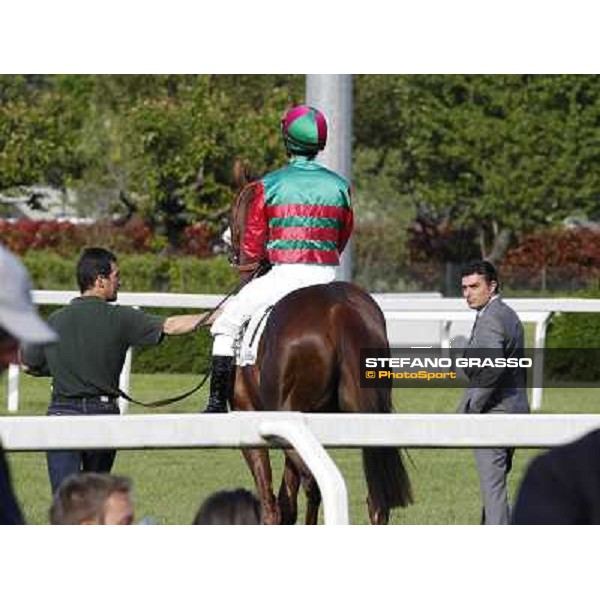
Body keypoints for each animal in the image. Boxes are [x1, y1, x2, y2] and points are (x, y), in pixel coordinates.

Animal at [226, 184, 412, 524]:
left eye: (235, 210)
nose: (232, 251)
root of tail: (339, 310)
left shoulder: (251, 420)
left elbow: (272, 500)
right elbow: (289, 498)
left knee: (312, 482)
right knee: (375, 499)